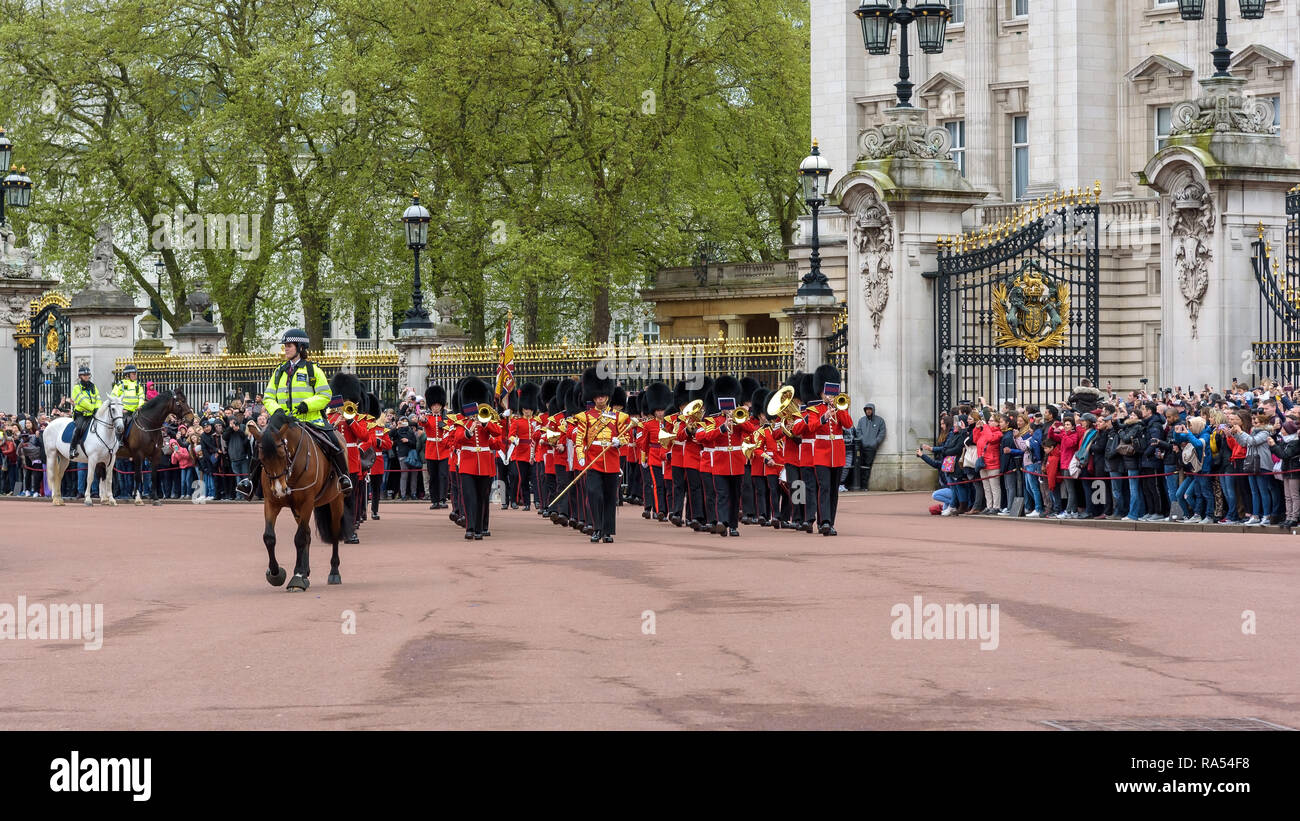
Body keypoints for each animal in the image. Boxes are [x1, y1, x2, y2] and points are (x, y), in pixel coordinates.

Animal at [246, 415, 351, 589]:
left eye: (282, 454)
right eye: (261, 457)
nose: (279, 489)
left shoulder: (307, 502)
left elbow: (299, 538)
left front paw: (297, 577)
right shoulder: (272, 503)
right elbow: (269, 537)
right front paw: (276, 573)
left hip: (336, 502)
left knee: (334, 533)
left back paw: (333, 572)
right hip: (297, 510)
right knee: (307, 533)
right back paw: (305, 572)